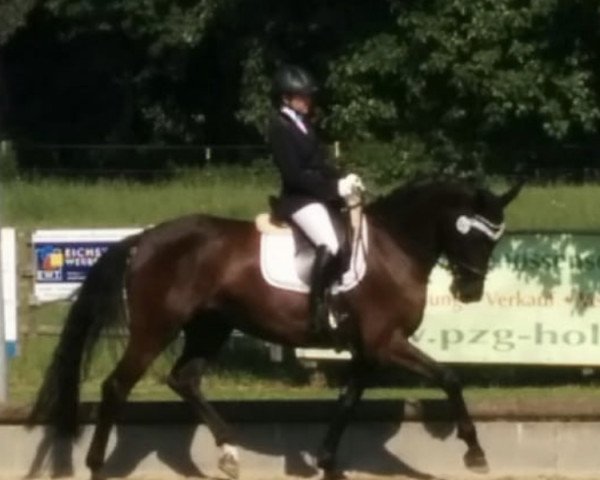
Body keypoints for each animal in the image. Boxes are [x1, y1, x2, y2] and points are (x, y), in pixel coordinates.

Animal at [30, 177, 524, 480]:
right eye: (473, 233)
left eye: (496, 238)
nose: (469, 291)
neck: (393, 248)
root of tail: (145, 238)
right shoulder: (387, 343)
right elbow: (449, 377)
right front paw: (474, 451)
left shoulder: (368, 350)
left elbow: (347, 403)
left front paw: (328, 461)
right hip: (157, 328)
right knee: (118, 386)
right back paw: (97, 464)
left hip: (211, 326)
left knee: (184, 379)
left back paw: (229, 452)